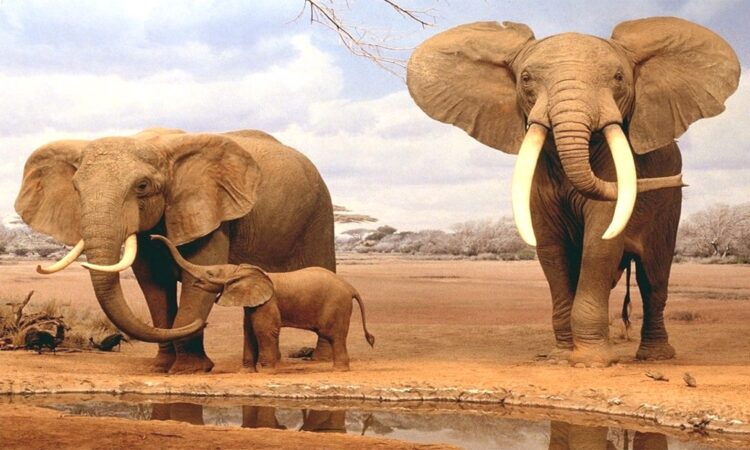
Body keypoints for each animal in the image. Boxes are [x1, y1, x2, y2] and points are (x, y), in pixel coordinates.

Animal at [15, 128, 336, 373]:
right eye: (76, 189)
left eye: (142, 186)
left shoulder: (210, 213)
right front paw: (161, 368)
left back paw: (322, 360)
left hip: (320, 212)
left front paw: (188, 370)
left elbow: (199, 275)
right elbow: (154, 285)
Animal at [152, 234, 375, 372]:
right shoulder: (252, 303)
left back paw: (340, 369)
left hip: (337, 305)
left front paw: (267, 371)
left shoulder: (268, 302)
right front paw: (246, 372)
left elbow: (264, 330)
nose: (152, 237)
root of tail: (351, 288)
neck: (241, 270)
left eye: (210, 273)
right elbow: (249, 331)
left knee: (335, 336)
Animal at [407, 17, 740, 366]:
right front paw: (560, 357)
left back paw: (655, 357)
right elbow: (551, 249)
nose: (681, 179)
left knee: (653, 277)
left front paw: (590, 361)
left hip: (668, 207)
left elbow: (600, 243)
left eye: (619, 78)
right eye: (526, 78)